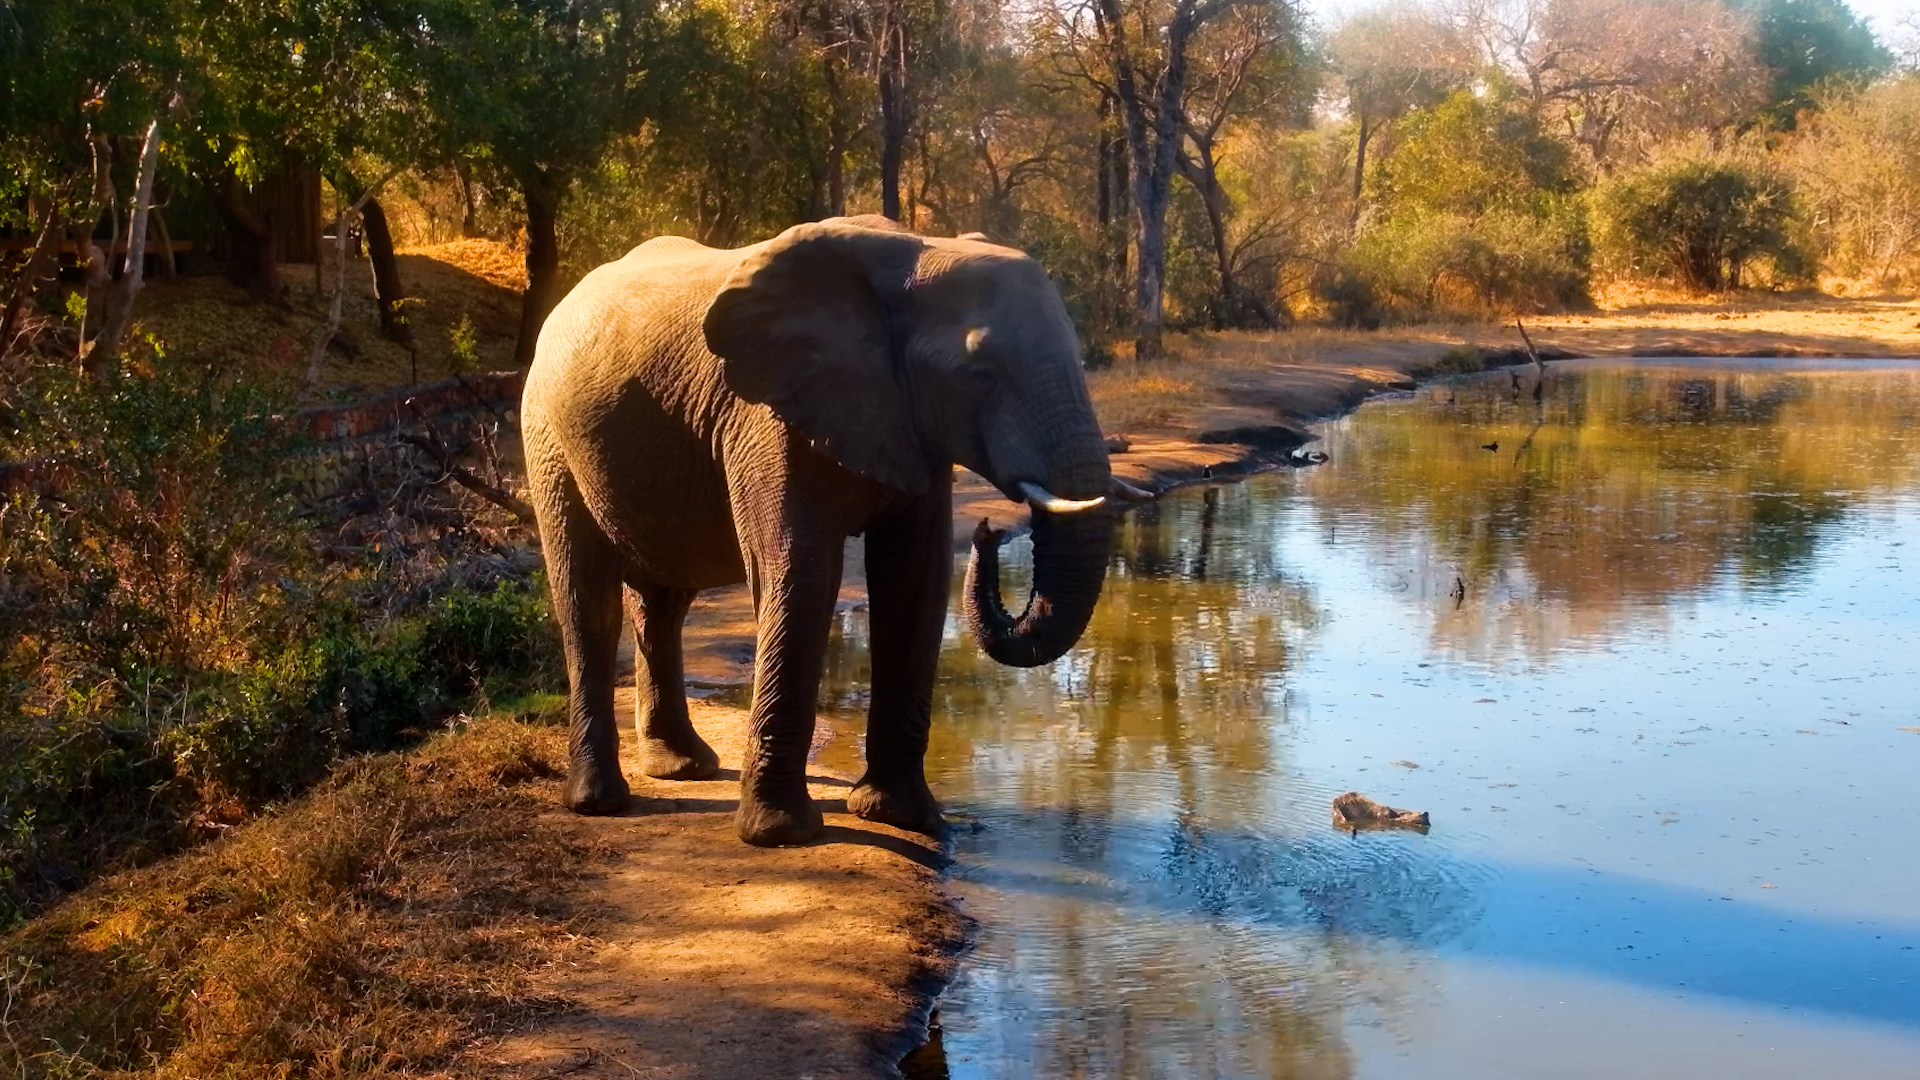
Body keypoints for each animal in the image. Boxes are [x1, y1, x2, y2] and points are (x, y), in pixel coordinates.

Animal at [522, 216, 1142, 846]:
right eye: (978, 372)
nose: (988, 530)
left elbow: (914, 580)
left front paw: (903, 817)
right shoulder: (769, 415)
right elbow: (803, 575)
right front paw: (781, 834)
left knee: (662, 601)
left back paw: (683, 767)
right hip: (547, 434)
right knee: (587, 598)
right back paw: (601, 801)